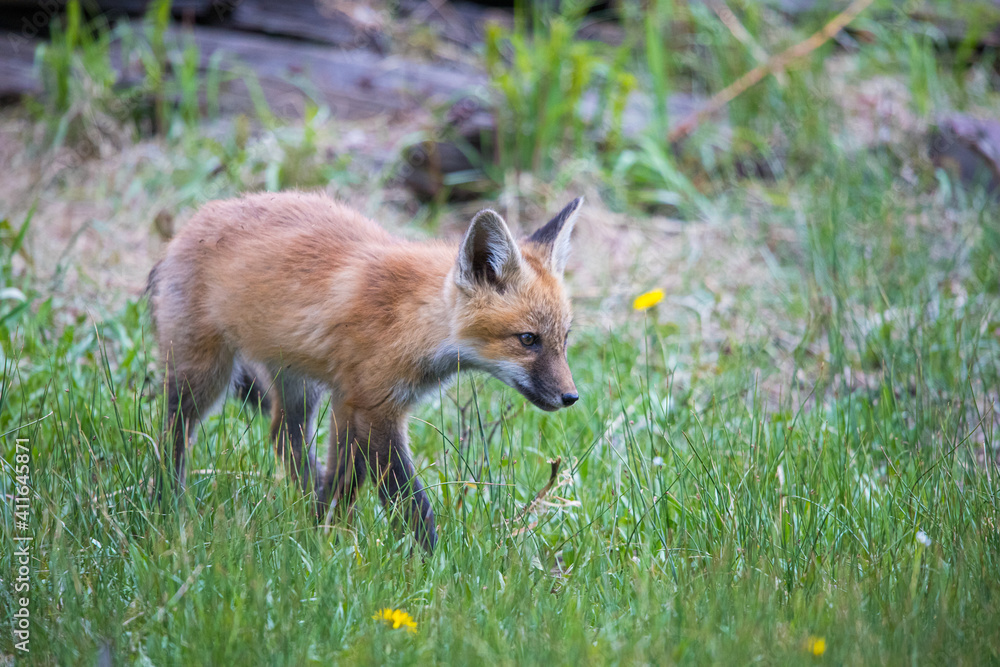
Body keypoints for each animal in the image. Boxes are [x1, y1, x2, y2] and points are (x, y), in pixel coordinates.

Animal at [146, 190, 584, 552]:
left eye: (563, 338)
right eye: (527, 339)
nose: (570, 397)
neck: (411, 321)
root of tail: (196, 218)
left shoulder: (349, 400)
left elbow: (343, 479)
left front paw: (324, 536)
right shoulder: (374, 408)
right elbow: (409, 500)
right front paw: (432, 563)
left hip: (298, 382)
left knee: (283, 436)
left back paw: (303, 505)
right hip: (203, 373)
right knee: (173, 432)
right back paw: (167, 503)